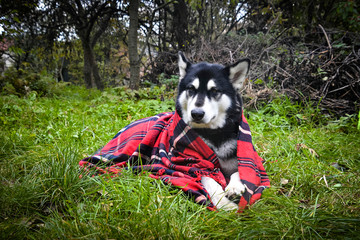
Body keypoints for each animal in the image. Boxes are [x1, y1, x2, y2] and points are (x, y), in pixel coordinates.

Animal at [176, 52, 250, 210]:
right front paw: (225, 204)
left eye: (215, 91)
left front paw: (234, 186)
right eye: (191, 89)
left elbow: (239, 170)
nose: (197, 114)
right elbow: (210, 181)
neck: (214, 134)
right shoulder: (196, 164)